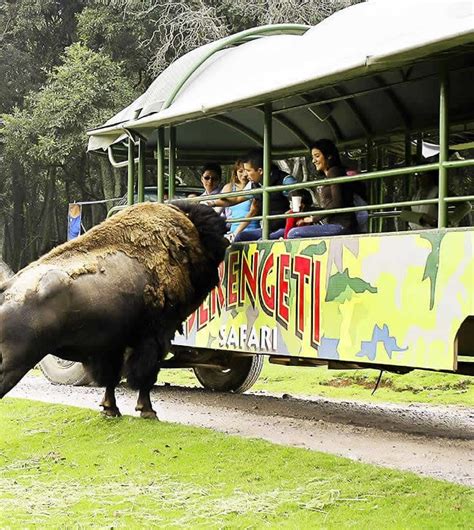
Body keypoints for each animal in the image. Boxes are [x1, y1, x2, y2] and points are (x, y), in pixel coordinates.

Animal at [0, 201, 228, 416]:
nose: (226, 243)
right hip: (15, 363)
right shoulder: (155, 337)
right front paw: (148, 411)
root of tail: (7, 287)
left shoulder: (112, 345)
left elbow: (112, 378)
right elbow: (145, 376)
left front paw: (110, 409)